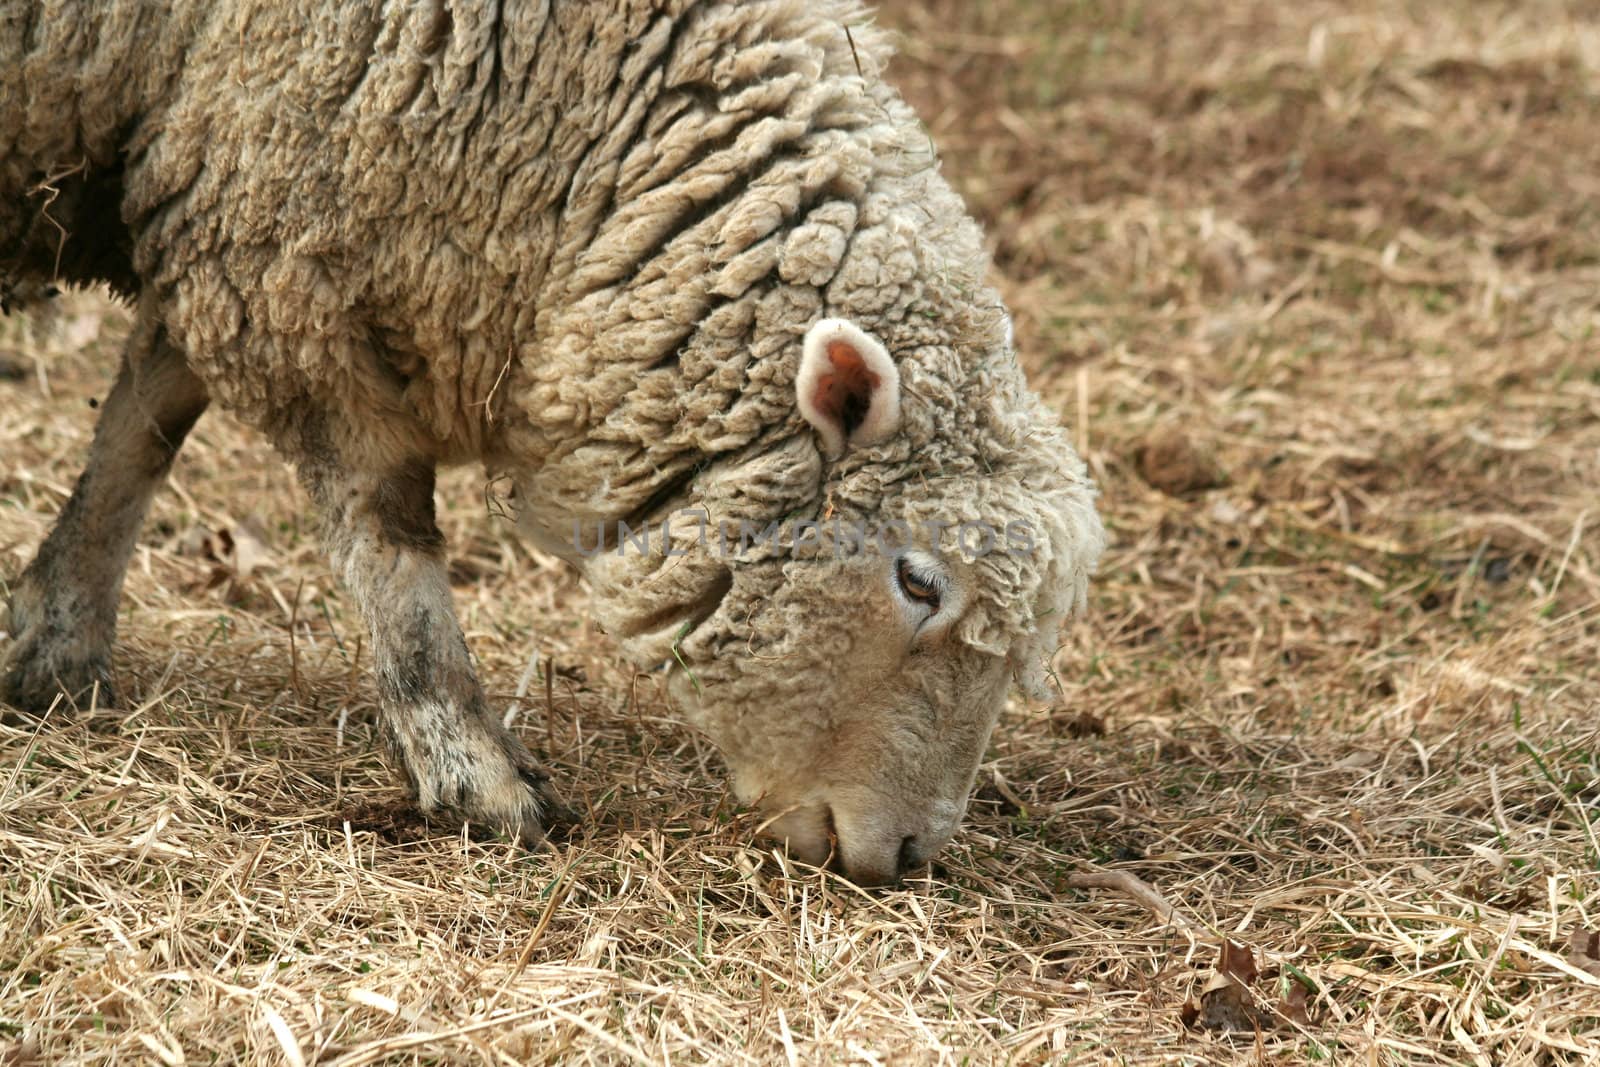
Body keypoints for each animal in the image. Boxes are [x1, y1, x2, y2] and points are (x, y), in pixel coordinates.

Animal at [0, 0, 1100, 883]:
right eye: (917, 579)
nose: (911, 854)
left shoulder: (219, 199)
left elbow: (140, 427)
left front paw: (55, 645)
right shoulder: (296, 252)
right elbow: (389, 541)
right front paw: (475, 774)